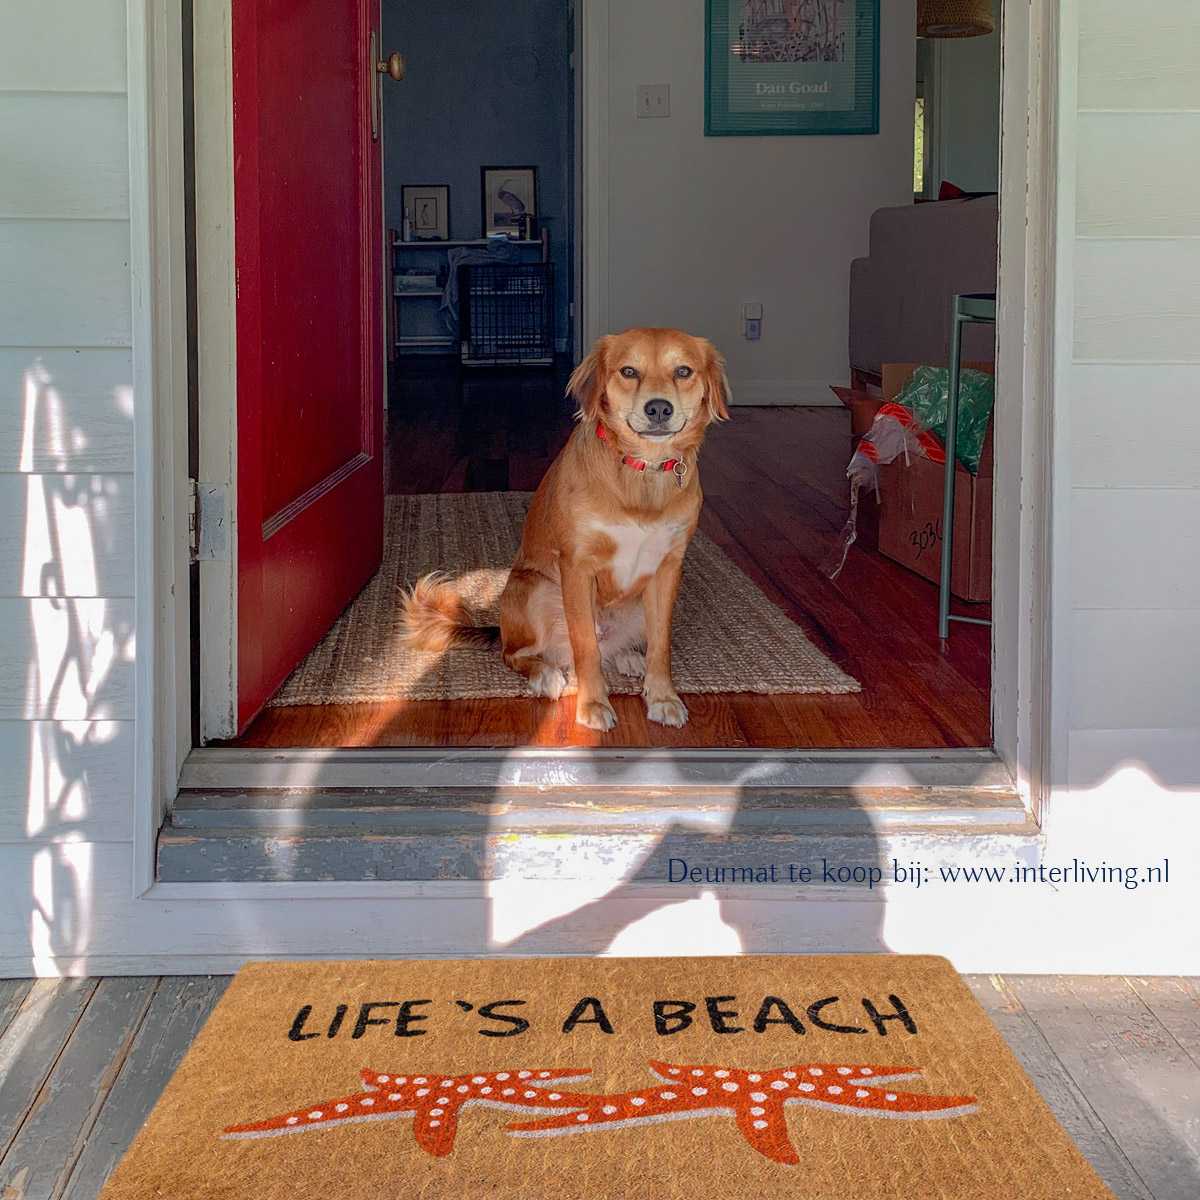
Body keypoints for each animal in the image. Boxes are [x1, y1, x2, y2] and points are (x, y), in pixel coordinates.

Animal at [403, 328, 724, 729]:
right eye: (628, 371)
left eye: (683, 371)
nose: (659, 408)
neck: (641, 472)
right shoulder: (576, 566)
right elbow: (585, 645)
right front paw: (593, 704)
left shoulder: (667, 568)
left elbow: (660, 643)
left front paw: (662, 696)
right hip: (534, 589)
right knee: (517, 653)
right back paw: (546, 674)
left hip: (635, 601)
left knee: (615, 647)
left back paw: (628, 657)